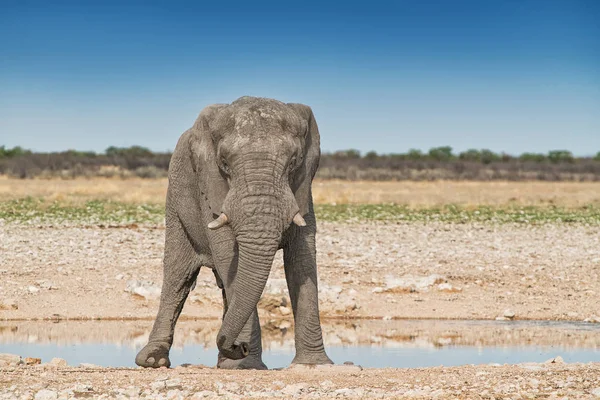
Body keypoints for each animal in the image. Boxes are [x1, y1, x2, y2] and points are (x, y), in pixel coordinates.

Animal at [135, 96, 332, 368]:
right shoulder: (209, 189)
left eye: (293, 162)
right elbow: (228, 254)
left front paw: (314, 364)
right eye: (224, 164)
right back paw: (153, 361)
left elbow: (302, 261)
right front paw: (246, 366)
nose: (240, 346)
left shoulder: (303, 194)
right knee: (177, 276)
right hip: (174, 202)